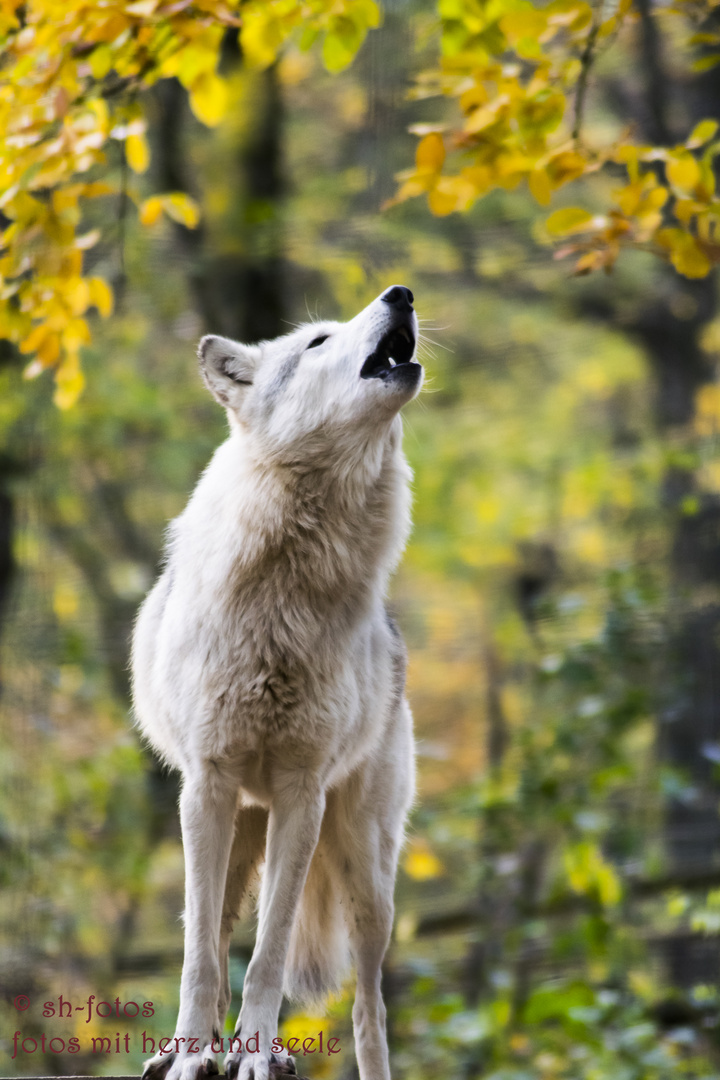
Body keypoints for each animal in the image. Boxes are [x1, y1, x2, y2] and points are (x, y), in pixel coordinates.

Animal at [131, 285, 423, 1080]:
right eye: (317, 342)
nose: (402, 293)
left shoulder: (301, 791)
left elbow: (268, 953)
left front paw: (257, 1052)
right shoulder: (207, 784)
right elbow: (201, 960)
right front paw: (195, 1054)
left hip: (367, 874)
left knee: (369, 1006)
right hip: (234, 831)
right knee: (209, 932)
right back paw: (188, 1048)